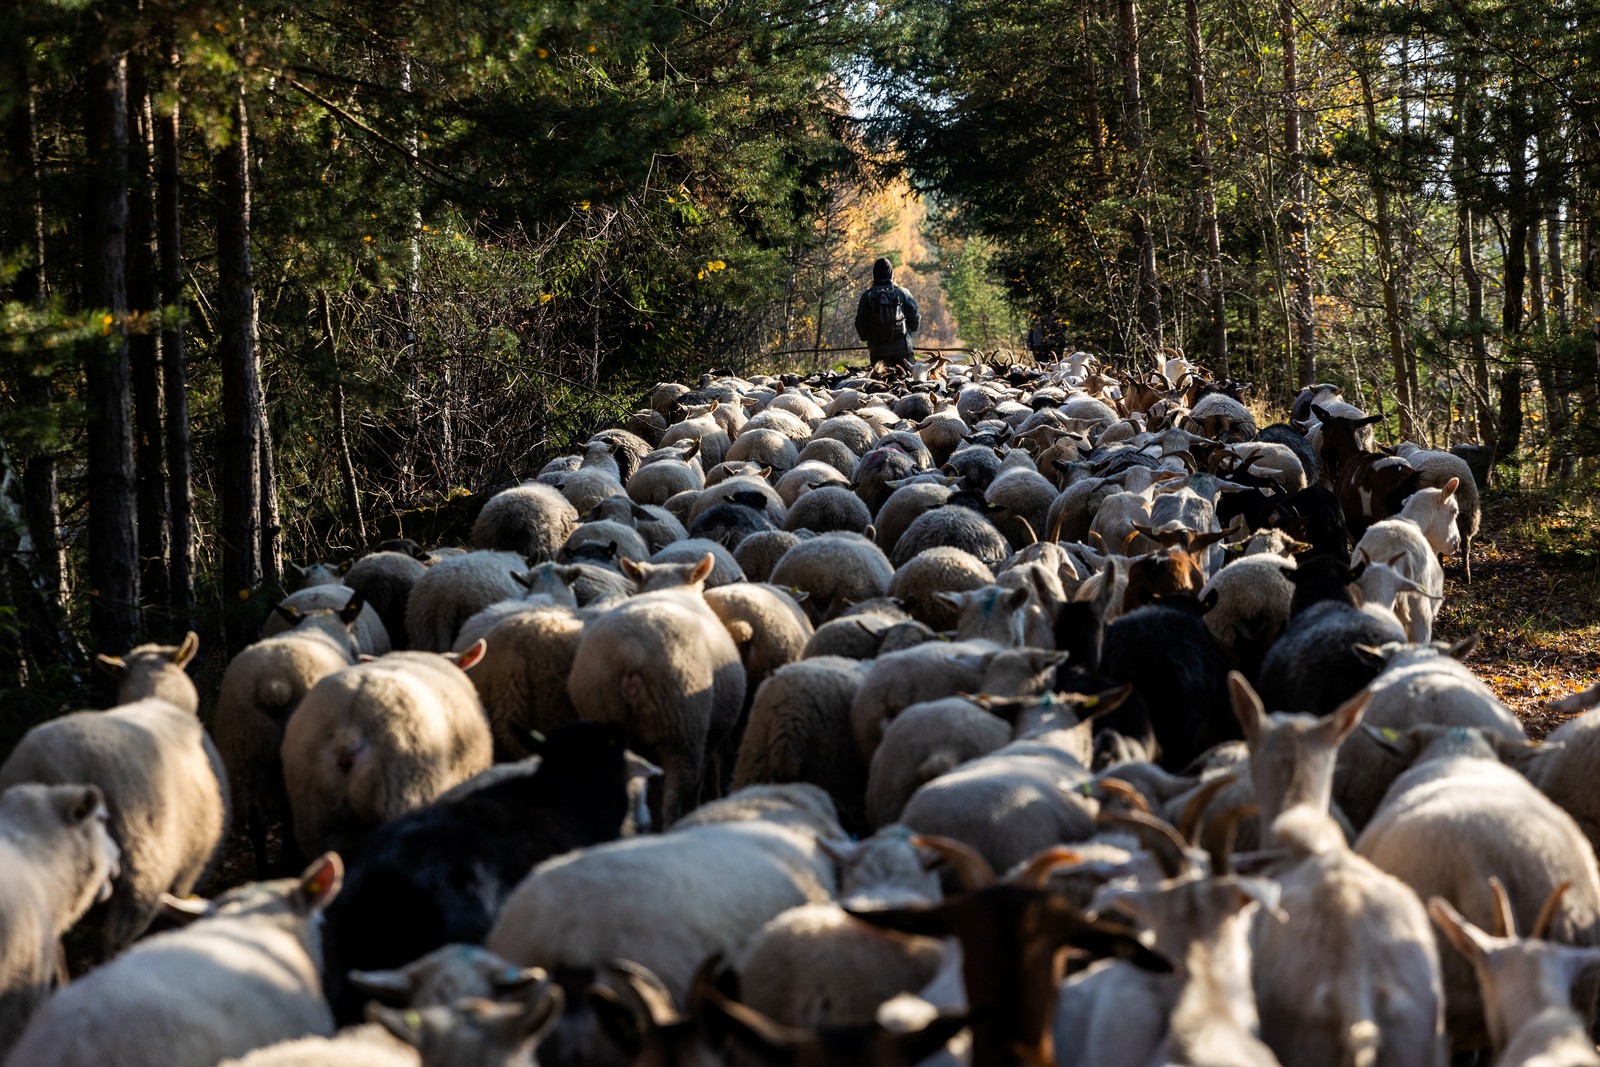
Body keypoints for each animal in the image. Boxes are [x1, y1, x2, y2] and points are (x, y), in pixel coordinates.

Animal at [216, 598, 364, 875]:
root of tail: (273, 684)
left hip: (243, 749)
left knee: (256, 817)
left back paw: (264, 869)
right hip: (292, 752)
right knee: (289, 809)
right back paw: (290, 858)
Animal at [567, 554, 746, 824]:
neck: (670, 588)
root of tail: (631, 654)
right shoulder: (711, 736)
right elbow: (707, 775)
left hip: (602, 713)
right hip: (682, 727)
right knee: (676, 795)